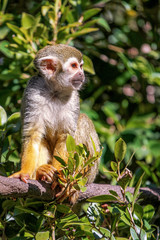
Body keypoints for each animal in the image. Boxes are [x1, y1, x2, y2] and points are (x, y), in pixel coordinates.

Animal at [9, 44, 100, 200]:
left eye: (81, 66)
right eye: (74, 66)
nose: (81, 74)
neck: (56, 90)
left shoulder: (74, 97)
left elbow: (65, 137)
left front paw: (61, 179)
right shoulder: (33, 90)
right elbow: (33, 134)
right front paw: (24, 172)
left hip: (91, 174)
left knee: (82, 120)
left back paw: (73, 180)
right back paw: (41, 174)